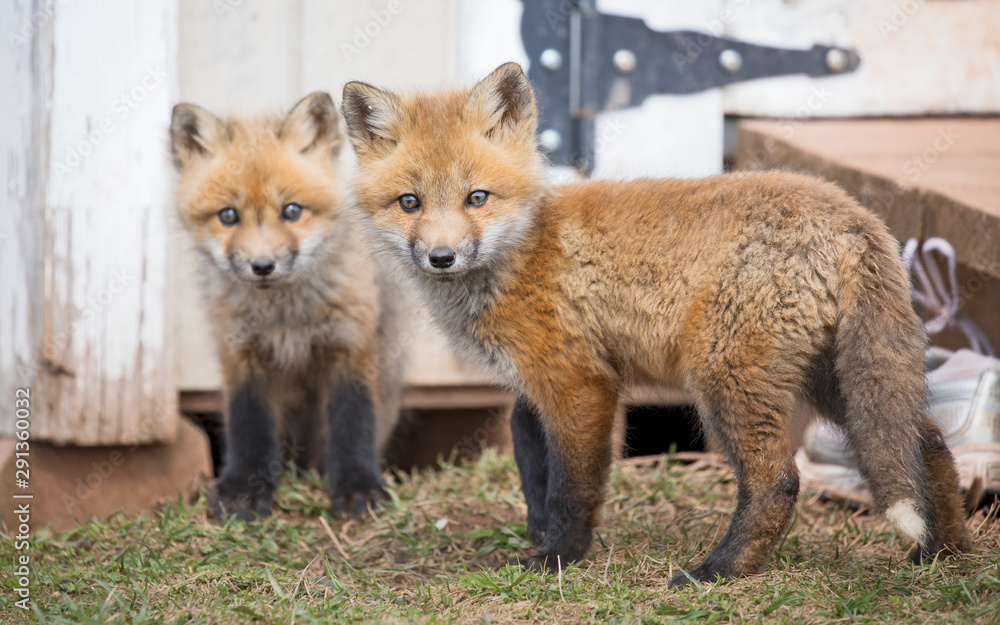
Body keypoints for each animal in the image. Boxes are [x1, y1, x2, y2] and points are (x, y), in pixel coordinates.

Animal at [169, 92, 405, 520]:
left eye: (291, 211)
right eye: (228, 215)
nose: (262, 266)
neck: (286, 318)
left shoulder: (350, 344)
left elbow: (353, 423)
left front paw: (357, 486)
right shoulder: (241, 352)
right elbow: (249, 425)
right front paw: (243, 488)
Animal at [340, 63, 972, 585]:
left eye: (477, 197)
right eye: (409, 202)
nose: (441, 257)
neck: (521, 252)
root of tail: (853, 215)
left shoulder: (581, 384)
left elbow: (572, 489)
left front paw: (559, 558)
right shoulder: (535, 387)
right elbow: (530, 461)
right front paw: (538, 535)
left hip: (725, 379)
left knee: (779, 482)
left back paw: (719, 571)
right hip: (835, 380)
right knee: (929, 445)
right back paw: (942, 555)